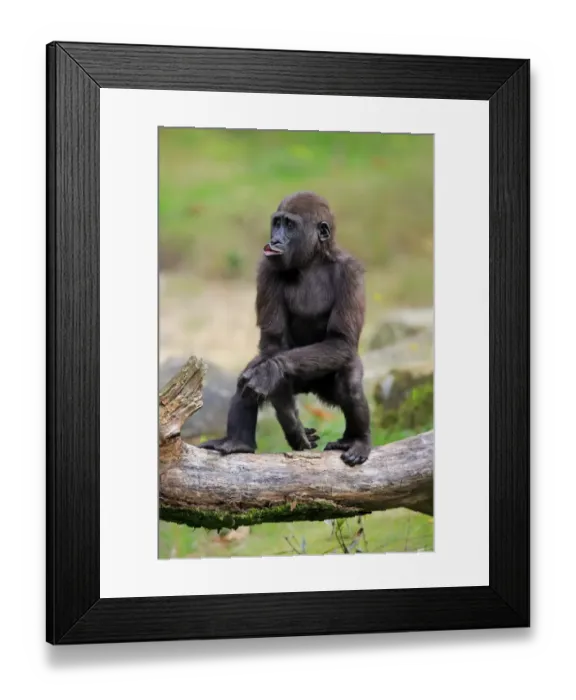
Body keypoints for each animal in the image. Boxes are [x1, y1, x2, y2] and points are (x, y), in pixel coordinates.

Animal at [199, 191, 372, 466]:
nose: (275, 239)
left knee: (350, 385)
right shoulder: (267, 268)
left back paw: (357, 439)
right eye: (277, 223)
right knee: (248, 377)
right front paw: (291, 422)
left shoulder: (351, 272)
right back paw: (239, 442)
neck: (313, 260)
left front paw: (271, 371)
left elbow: (340, 340)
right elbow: (272, 345)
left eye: (289, 225)